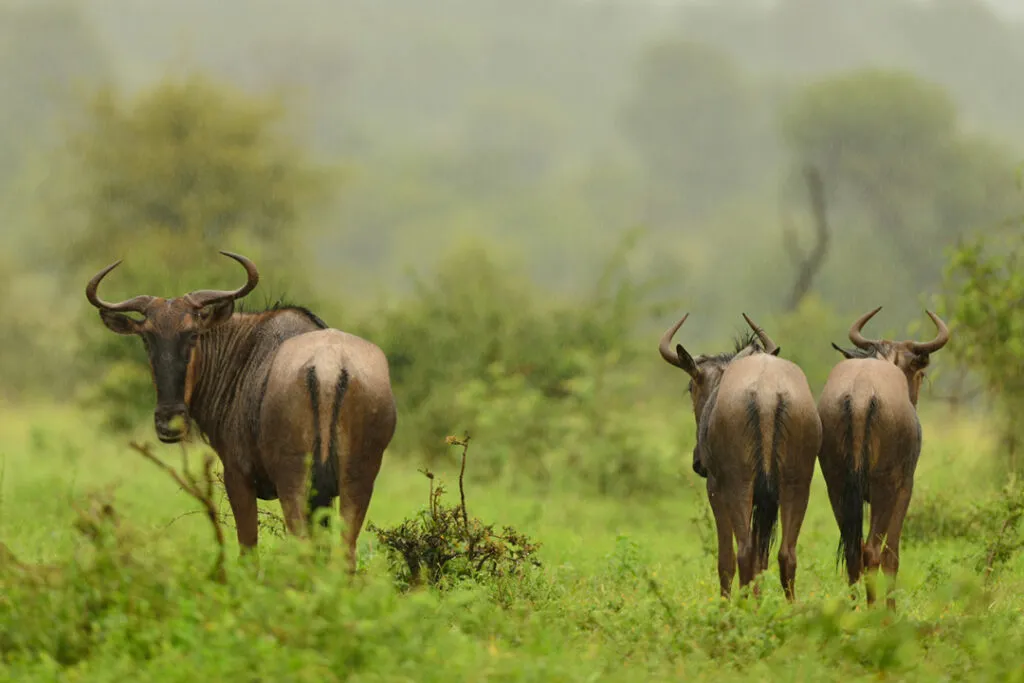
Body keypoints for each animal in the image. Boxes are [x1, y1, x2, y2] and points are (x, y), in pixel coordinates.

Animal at [85, 251, 397, 570]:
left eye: (193, 334)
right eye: (147, 338)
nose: (169, 422)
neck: (242, 354)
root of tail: (328, 366)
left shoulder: (238, 478)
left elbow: (248, 551)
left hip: (294, 484)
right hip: (355, 484)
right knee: (344, 554)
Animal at [660, 313, 822, 600]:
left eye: (691, 387)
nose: (697, 461)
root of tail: (768, 394)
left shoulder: (716, 489)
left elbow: (726, 559)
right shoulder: (765, 500)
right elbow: (761, 559)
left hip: (740, 484)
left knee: (744, 552)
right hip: (797, 484)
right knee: (785, 555)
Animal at [818, 307, 950, 607]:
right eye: (919, 374)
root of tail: (860, 395)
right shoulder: (904, 488)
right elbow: (892, 554)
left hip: (837, 486)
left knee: (854, 550)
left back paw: (853, 608)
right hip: (883, 488)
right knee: (872, 550)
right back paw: (876, 611)